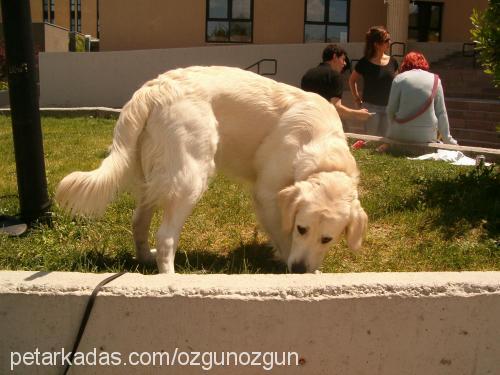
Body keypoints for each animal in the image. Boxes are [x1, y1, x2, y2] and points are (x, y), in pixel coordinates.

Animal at [55, 66, 368, 274]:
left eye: (327, 238)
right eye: (302, 229)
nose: (300, 270)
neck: (322, 147)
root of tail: (155, 88)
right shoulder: (267, 193)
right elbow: (282, 232)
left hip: (153, 178)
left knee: (138, 222)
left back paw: (145, 259)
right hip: (191, 177)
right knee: (165, 237)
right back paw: (168, 279)